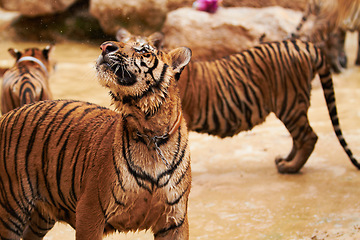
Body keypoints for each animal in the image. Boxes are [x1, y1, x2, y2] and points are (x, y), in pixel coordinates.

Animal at [0, 38, 193, 239]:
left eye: (143, 50)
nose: (105, 46)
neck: (149, 130)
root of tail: (5, 117)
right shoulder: (90, 211)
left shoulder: (175, 220)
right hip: (12, 208)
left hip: (42, 216)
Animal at [116, 30, 358, 173]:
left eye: (141, 49)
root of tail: (305, 45)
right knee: (299, 137)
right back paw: (284, 160)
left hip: (290, 103)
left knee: (308, 137)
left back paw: (289, 168)